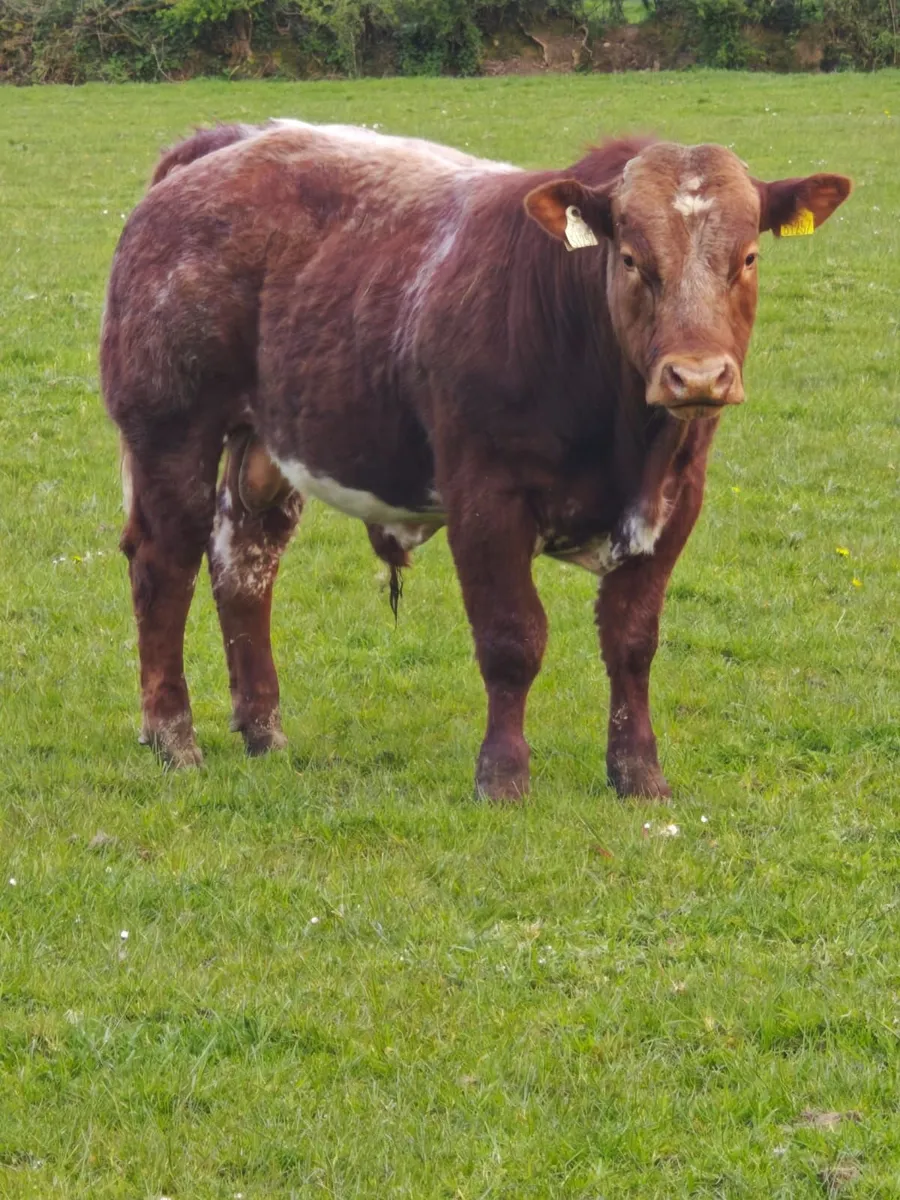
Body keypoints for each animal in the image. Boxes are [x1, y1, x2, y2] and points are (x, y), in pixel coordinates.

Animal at [100, 119, 850, 801]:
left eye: (748, 257)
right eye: (633, 258)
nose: (696, 376)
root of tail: (224, 144)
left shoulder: (676, 500)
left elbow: (632, 642)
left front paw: (639, 775)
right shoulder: (486, 497)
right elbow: (512, 640)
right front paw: (503, 776)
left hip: (265, 448)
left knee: (245, 569)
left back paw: (263, 731)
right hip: (171, 431)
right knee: (164, 568)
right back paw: (174, 739)